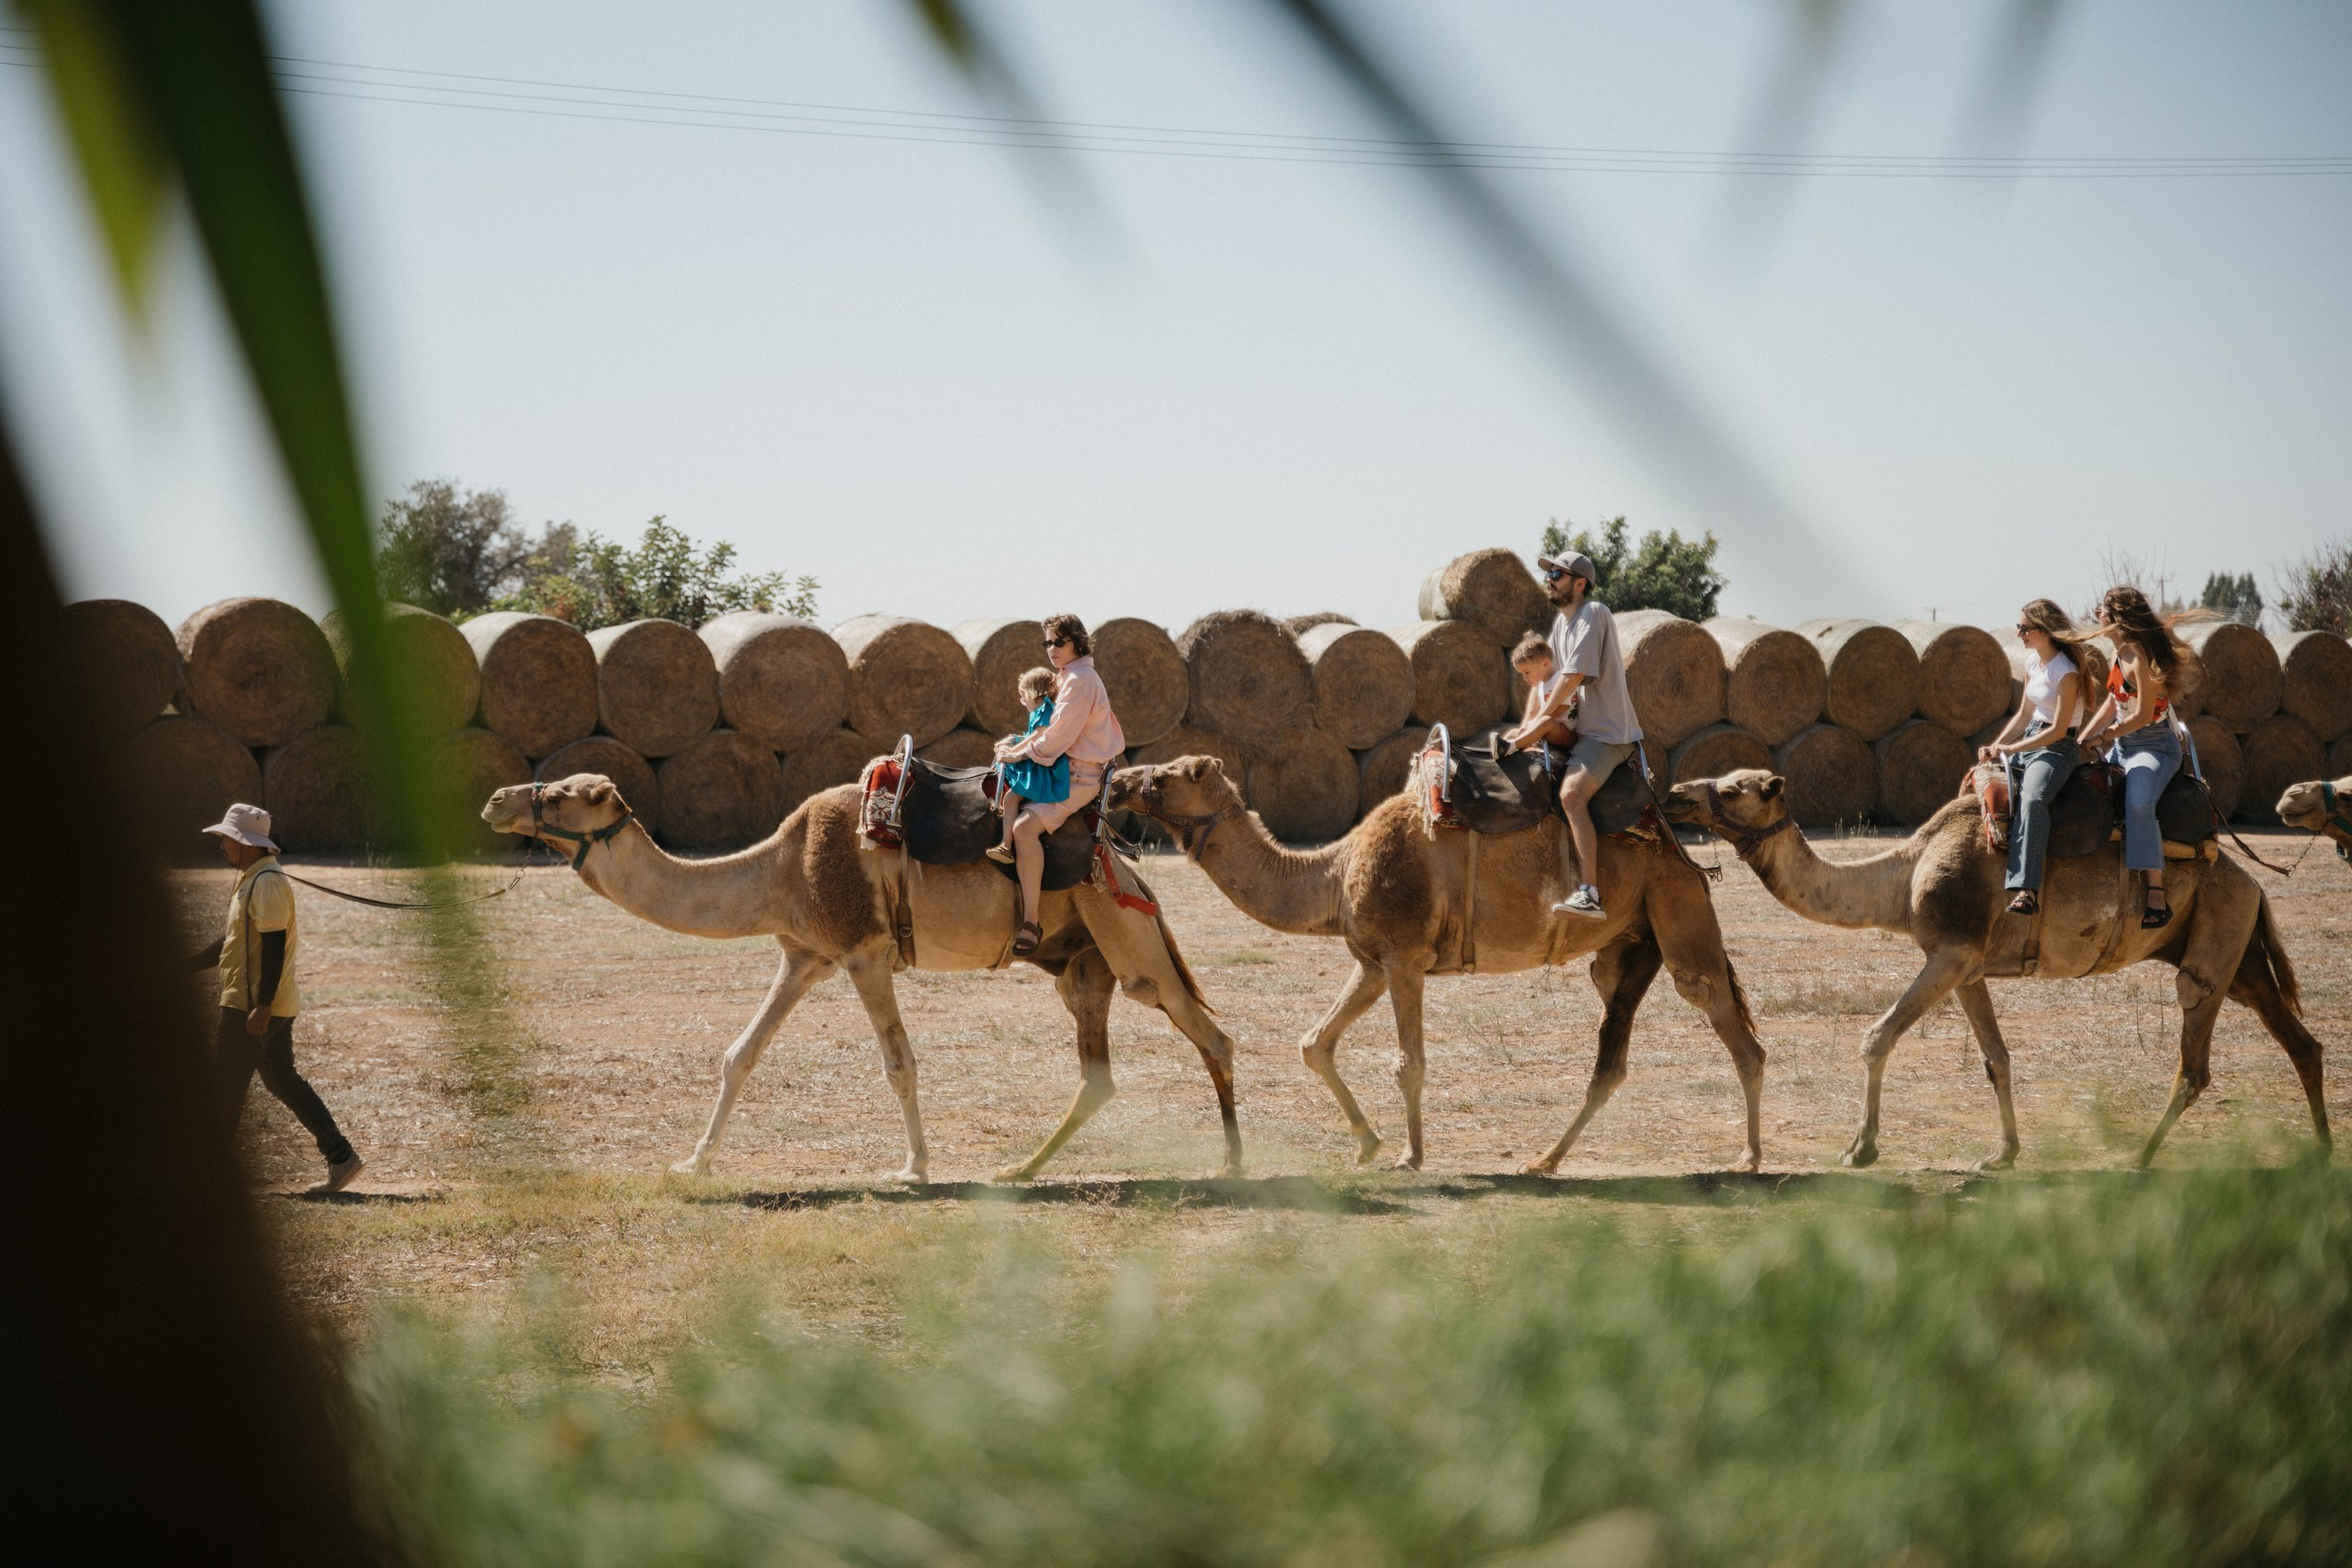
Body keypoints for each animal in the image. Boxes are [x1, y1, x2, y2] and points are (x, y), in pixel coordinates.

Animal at [481, 773, 1242, 1183]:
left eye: (562, 793)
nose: (495, 800)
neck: (782, 868)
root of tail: (1132, 867)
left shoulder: (863, 952)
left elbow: (899, 1064)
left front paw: (914, 1167)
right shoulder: (803, 955)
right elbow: (739, 1054)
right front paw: (692, 1164)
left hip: (1127, 941)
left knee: (1211, 1032)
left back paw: (1234, 1163)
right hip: (1081, 963)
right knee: (1098, 1075)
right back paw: (1019, 1169)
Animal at [1107, 756, 1768, 1172]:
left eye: (1163, 776)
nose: (1115, 782)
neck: (1333, 872)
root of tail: (1675, 837)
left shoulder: (1403, 959)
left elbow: (1410, 1063)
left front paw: (1410, 1155)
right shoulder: (1372, 963)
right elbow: (1315, 1043)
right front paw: (1367, 1144)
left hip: (1674, 905)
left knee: (1731, 1025)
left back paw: (1750, 1157)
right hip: (1631, 941)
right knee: (1612, 1054)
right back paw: (1544, 1160)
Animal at [1665, 769, 2329, 1169]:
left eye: (1735, 789)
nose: (1674, 793)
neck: (1904, 877)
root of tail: (2254, 883)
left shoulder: (1951, 951)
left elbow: (1876, 1037)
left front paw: (1861, 1147)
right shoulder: (1967, 968)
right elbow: (1996, 1059)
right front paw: (2002, 1154)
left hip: (2216, 936)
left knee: (2195, 1052)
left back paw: (2138, 1158)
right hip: (2236, 949)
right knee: (2300, 1040)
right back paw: (2321, 1150)